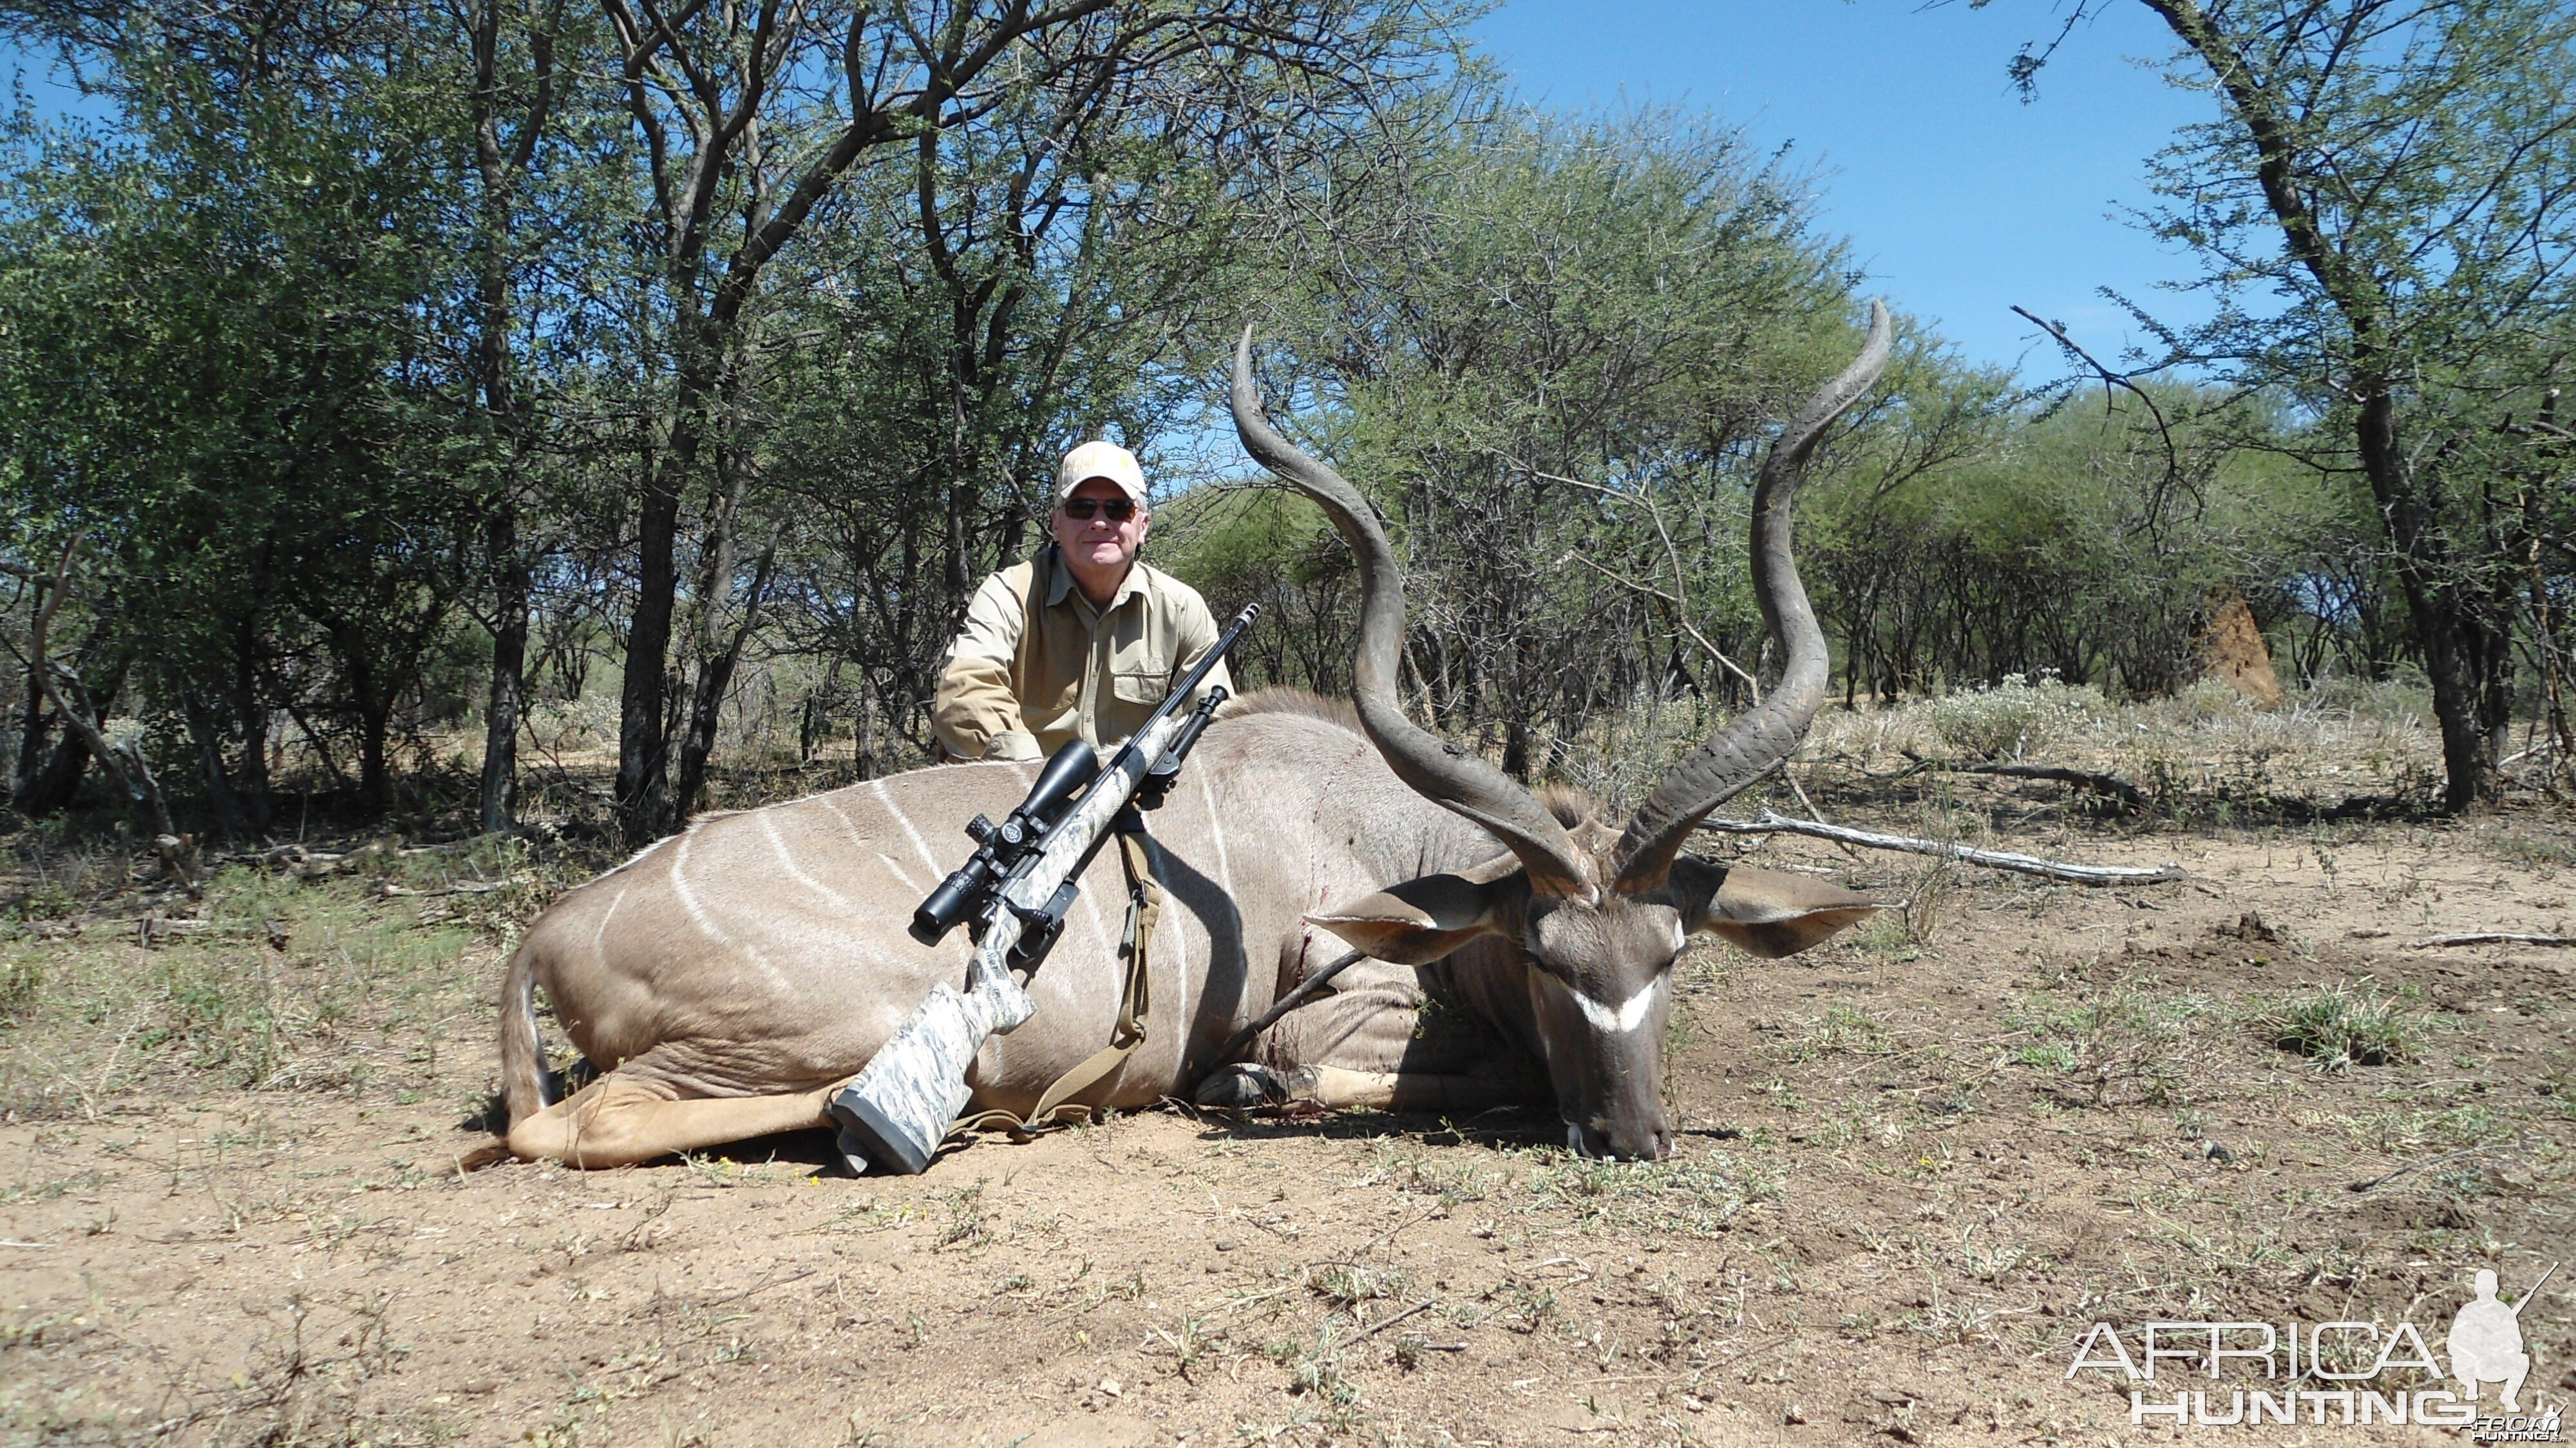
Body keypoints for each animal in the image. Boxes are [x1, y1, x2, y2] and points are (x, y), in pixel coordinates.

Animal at [497, 304, 1896, 1159]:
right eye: (1547, 959)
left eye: (1669, 955)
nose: (1627, 1136)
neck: (1393, 836)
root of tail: (548, 929)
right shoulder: (1339, 1010)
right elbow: (1423, 1071)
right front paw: (1240, 1083)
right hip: (788, 1040)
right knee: (572, 1122)